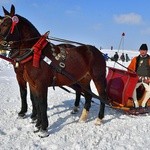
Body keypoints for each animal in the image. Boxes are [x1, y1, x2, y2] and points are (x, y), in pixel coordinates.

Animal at [0, 5, 108, 138]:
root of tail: (97, 51)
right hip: (82, 79)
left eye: (6, 24)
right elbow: (35, 102)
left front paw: (43, 129)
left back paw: (99, 119)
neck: (35, 53)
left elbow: (42, 104)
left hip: (98, 77)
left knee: (102, 96)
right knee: (87, 95)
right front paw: (37, 124)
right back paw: (82, 118)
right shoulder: (32, 84)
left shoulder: (41, 84)